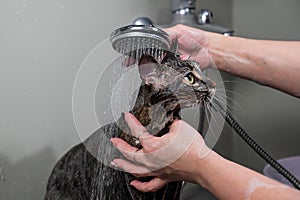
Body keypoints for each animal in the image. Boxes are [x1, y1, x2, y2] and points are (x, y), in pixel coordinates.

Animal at [45, 52, 216, 199]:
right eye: (190, 78)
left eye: (200, 70)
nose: (213, 84)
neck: (162, 123)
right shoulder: (135, 186)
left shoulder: (173, 185)